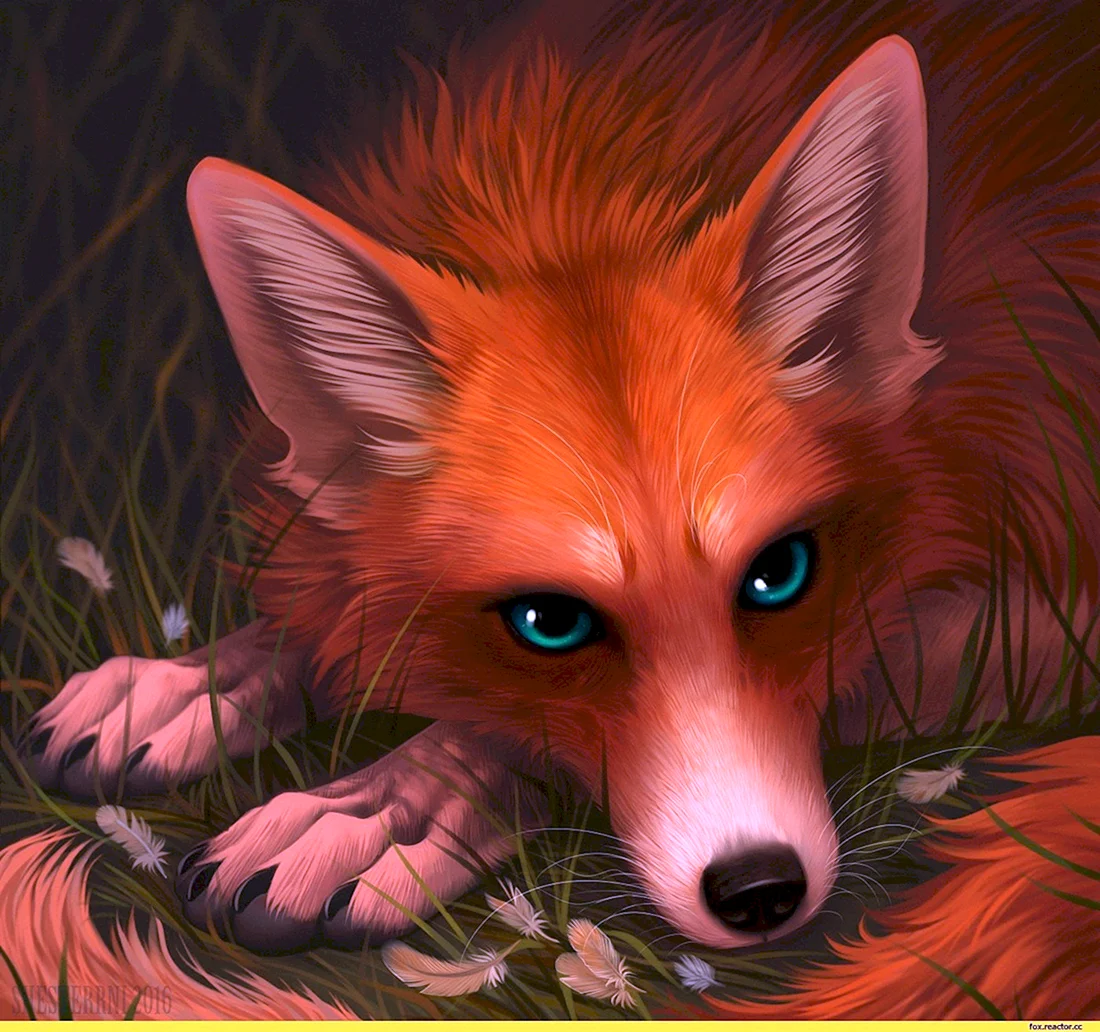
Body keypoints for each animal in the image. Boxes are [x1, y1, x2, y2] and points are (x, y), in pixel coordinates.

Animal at [4, 0, 1098, 1017]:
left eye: (780, 573)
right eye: (550, 622)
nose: (760, 891)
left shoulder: (1044, 610)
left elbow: (492, 738)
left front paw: (382, 807)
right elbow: (338, 621)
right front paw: (194, 684)